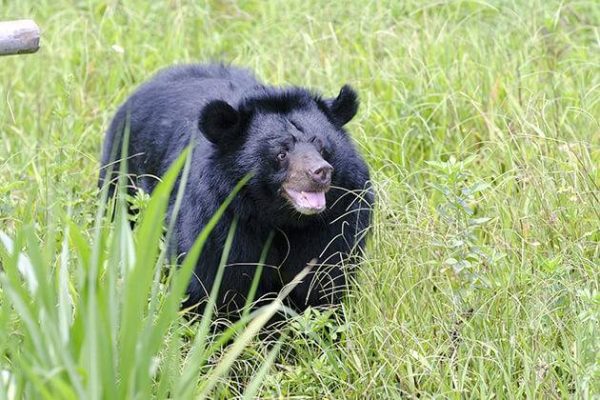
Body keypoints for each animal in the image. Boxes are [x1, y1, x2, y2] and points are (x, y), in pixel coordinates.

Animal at [99, 64, 370, 322]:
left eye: (322, 147)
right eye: (281, 153)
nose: (321, 172)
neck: (281, 218)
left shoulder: (334, 223)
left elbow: (324, 278)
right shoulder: (219, 223)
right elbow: (215, 284)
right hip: (122, 172)